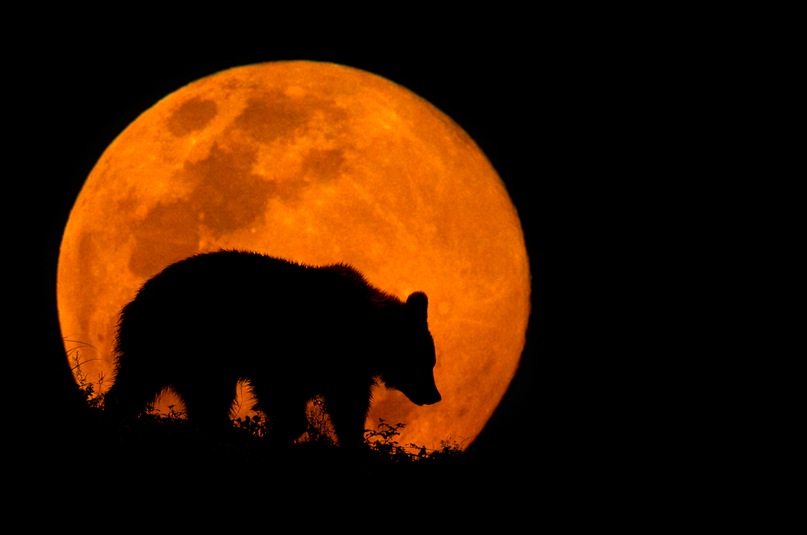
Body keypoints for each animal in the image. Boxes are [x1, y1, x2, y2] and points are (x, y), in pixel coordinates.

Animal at [103, 249, 441, 449]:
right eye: (426, 361)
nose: (434, 395)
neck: (366, 335)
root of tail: (140, 295)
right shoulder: (287, 353)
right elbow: (281, 395)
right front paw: (279, 432)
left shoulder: (344, 372)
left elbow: (348, 408)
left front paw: (355, 444)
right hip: (183, 340)